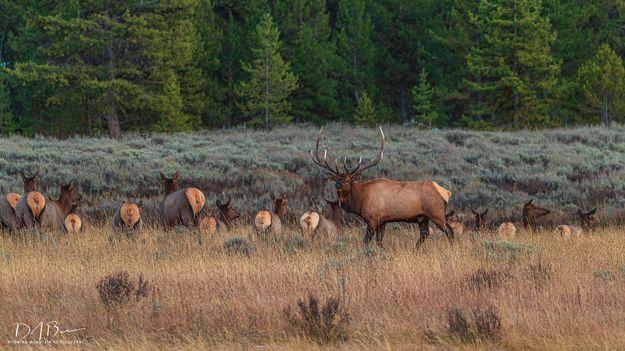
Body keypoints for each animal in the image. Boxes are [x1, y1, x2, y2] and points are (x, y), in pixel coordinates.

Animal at [312, 127, 454, 248]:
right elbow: (379, 241)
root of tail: (446, 192)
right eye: (336, 179)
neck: (361, 200)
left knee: (449, 231)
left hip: (437, 213)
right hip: (423, 217)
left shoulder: (373, 219)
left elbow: (366, 241)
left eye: (348, 180)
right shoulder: (383, 221)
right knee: (425, 233)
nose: (338, 186)